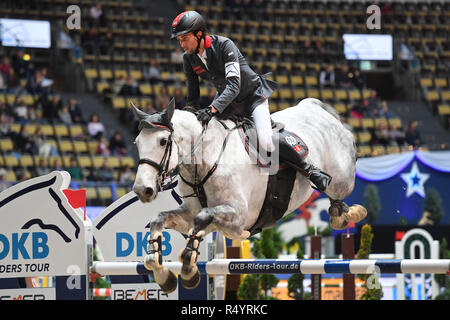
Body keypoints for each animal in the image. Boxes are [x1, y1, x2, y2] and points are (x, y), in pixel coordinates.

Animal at [130, 98, 366, 296]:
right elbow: (161, 219)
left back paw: (344, 212)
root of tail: (315, 107)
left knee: (338, 196)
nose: (143, 189)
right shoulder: (191, 215)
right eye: (137, 143)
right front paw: (161, 272)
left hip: (341, 180)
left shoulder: (239, 217)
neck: (205, 159)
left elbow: (203, 217)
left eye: (163, 141)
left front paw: (188, 269)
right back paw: (343, 215)